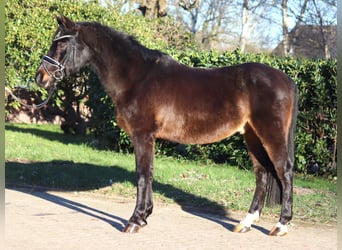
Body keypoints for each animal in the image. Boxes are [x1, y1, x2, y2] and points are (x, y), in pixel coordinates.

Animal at [34, 15, 296, 236]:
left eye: (62, 45)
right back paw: (245, 223)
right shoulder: (148, 138)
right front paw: (144, 216)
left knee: (284, 171)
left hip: (270, 134)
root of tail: (286, 79)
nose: (40, 77)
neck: (137, 78)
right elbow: (149, 174)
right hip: (251, 135)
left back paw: (281, 225)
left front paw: (134, 221)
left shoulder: (142, 135)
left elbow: (142, 175)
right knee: (262, 173)